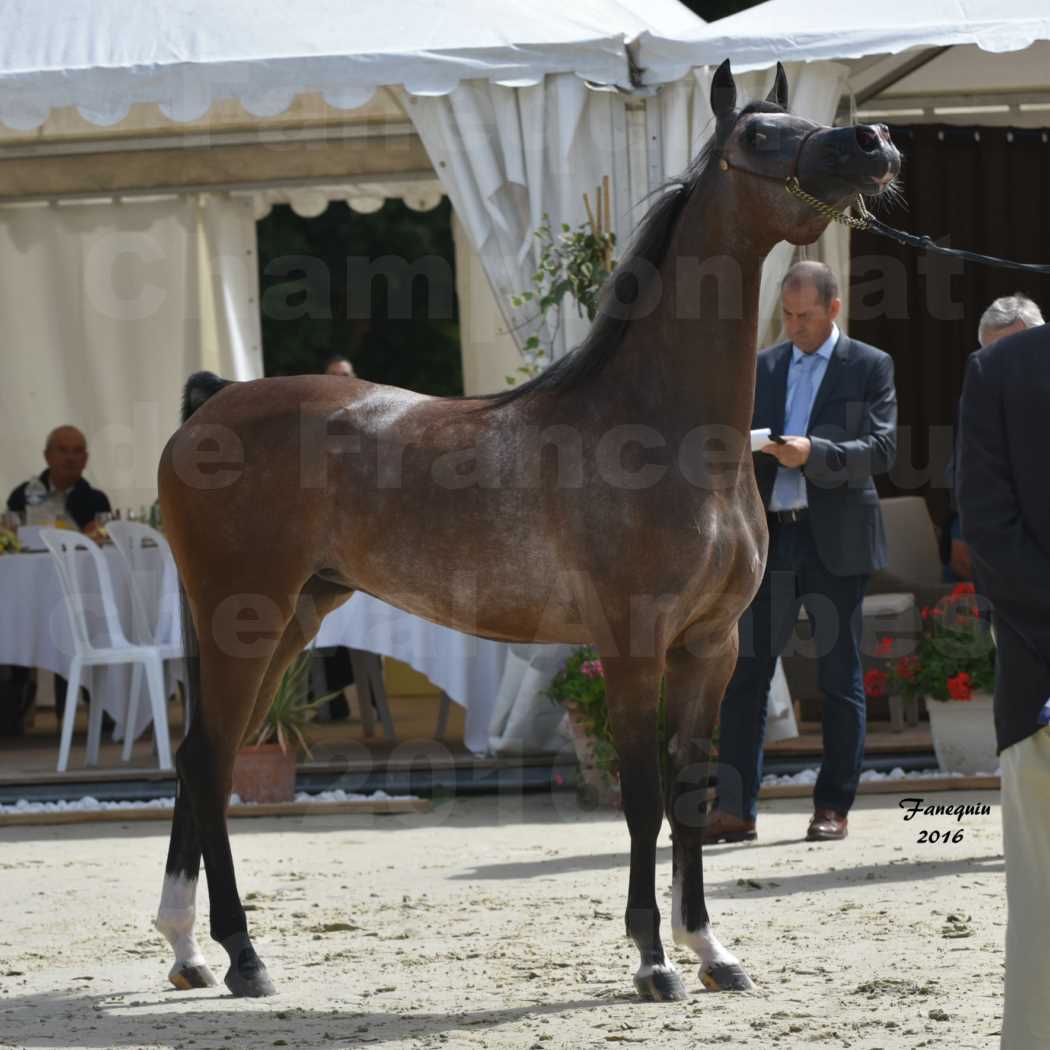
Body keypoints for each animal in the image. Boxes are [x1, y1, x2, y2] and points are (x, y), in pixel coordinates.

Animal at [152, 61, 898, 1003]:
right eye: (759, 136)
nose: (873, 143)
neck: (660, 431)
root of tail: (208, 405)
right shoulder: (632, 646)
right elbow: (642, 797)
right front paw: (653, 960)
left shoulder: (713, 644)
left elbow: (692, 792)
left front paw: (710, 949)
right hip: (244, 620)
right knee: (210, 759)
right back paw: (243, 955)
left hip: (293, 619)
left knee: (199, 758)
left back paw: (187, 951)